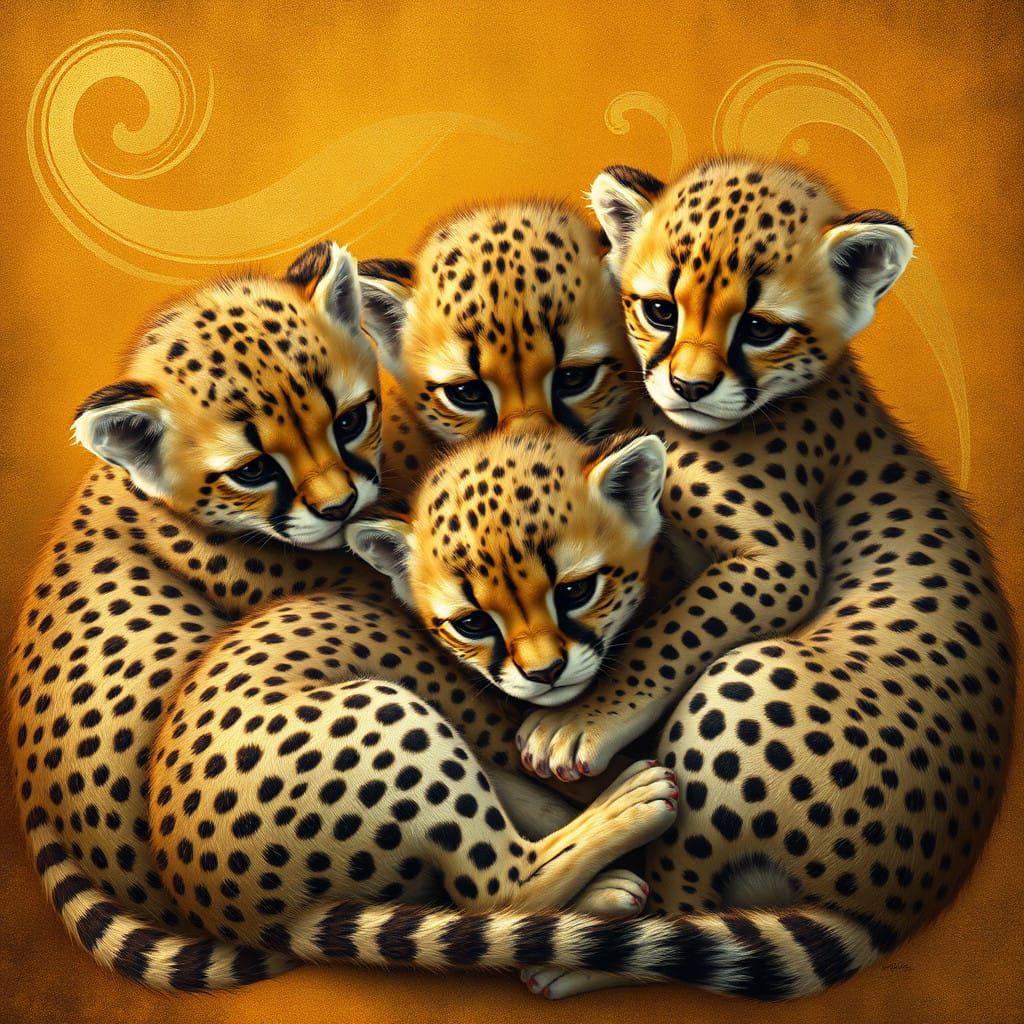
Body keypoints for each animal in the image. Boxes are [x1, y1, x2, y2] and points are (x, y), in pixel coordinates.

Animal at [7, 241, 679, 991]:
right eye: (252, 469)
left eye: (349, 420)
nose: (339, 507)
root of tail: (252, 918)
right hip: (389, 720)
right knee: (495, 888)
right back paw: (620, 843)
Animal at [496, 157, 1014, 998]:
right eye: (658, 310)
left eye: (761, 327)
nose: (689, 387)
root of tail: (899, 906)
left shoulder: (776, 560)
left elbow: (672, 632)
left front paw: (578, 722)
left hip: (743, 686)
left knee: (683, 910)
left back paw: (567, 955)